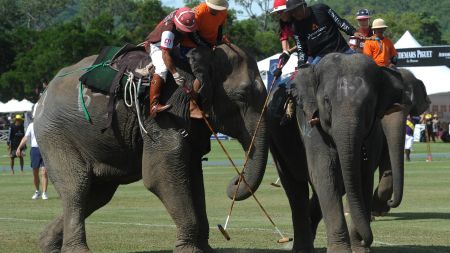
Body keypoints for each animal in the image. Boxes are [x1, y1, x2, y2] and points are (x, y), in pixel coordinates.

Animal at [35, 45, 268, 253]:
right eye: (242, 96)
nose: (235, 181)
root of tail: (43, 94)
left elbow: (193, 173)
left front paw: (205, 249)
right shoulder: (165, 111)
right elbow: (161, 173)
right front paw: (189, 250)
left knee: (98, 194)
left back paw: (47, 244)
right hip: (55, 134)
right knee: (77, 187)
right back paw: (76, 249)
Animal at [268, 52, 410, 253]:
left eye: (369, 103)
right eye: (326, 100)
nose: (366, 241)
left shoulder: (372, 131)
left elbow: (362, 176)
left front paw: (359, 249)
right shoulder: (309, 121)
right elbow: (325, 172)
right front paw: (341, 250)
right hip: (276, 137)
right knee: (295, 187)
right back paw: (302, 247)